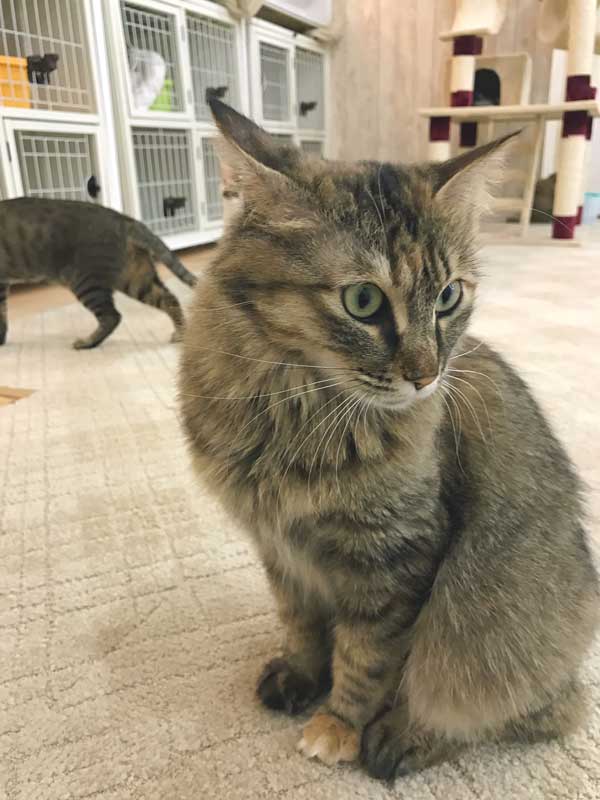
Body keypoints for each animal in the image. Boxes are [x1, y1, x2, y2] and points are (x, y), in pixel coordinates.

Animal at [0, 197, 197, 346]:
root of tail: (124, 219)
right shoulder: (2, 284)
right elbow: (2, 314)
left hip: (86, 282)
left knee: (112, 316)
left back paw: (87, 342)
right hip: (134, 279)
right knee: (168, 299)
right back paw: (181, 333)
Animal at [179, 100, 600, 780]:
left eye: (449, 297)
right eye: (362, 300)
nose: (427, 375)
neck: (294, 403)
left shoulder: (394, 559)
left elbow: (366, 659)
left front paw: (338, 726)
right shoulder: (281, 553)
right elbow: (302, 629)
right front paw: (301, 676)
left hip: (493, 639)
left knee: (523, 710)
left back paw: (402, 739)